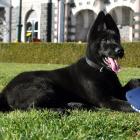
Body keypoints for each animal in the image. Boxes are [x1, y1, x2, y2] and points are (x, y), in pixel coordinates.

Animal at [0, 10, 140, 112]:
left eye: (117, 39)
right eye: (105, 40)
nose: (120, 51)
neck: (100, 71)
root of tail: (5, 91)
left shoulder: (117, 91)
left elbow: (132, 82)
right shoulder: (105, 100)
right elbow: (128, 105)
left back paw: (76, 105)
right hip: (44, 86)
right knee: (31, 107)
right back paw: (61, 110)